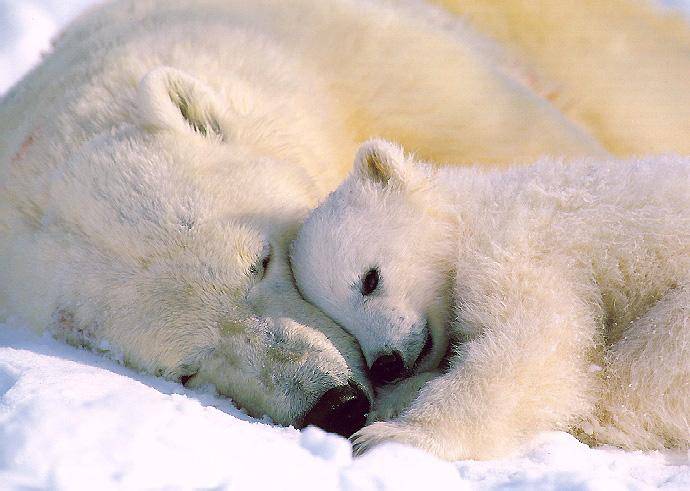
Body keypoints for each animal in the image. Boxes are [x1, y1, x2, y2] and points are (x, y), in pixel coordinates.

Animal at [290, 139, 688, 462]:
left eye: (370, 279)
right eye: (341, 322)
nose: (386, 364)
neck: (476, 210)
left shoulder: (517, 245)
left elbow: (529, 345)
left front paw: (387, 435)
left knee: (644, 369)